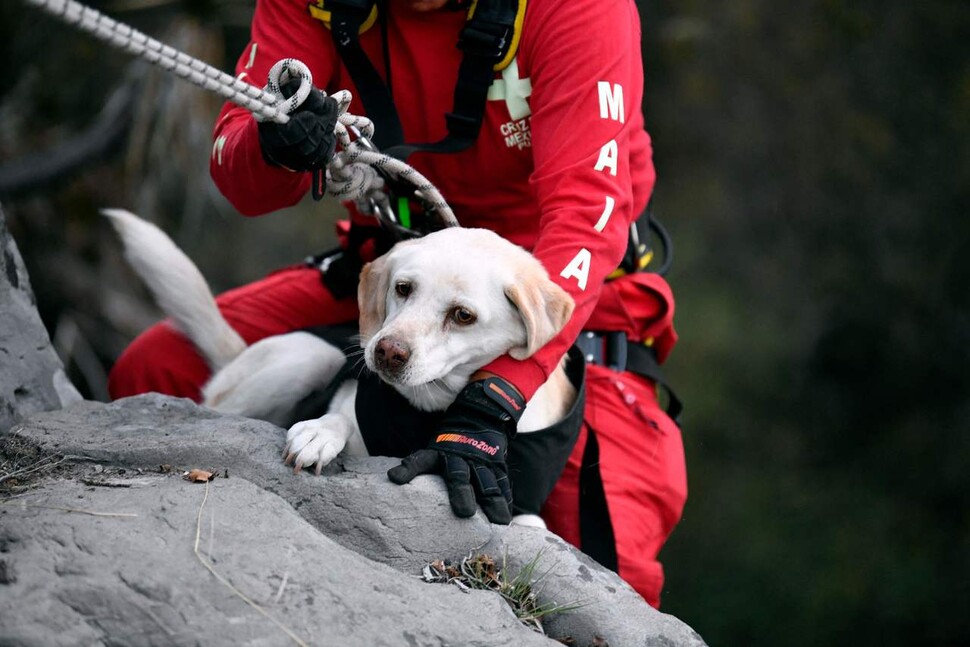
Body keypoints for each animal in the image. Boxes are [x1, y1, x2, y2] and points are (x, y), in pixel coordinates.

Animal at [106, 211, 576, 528]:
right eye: (403, 288)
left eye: (463, 315)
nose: (386, 352)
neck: (433, 408)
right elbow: (338, 417)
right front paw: (318, 433)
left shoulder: (526, 512)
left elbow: (528, 523)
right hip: (307, 357)